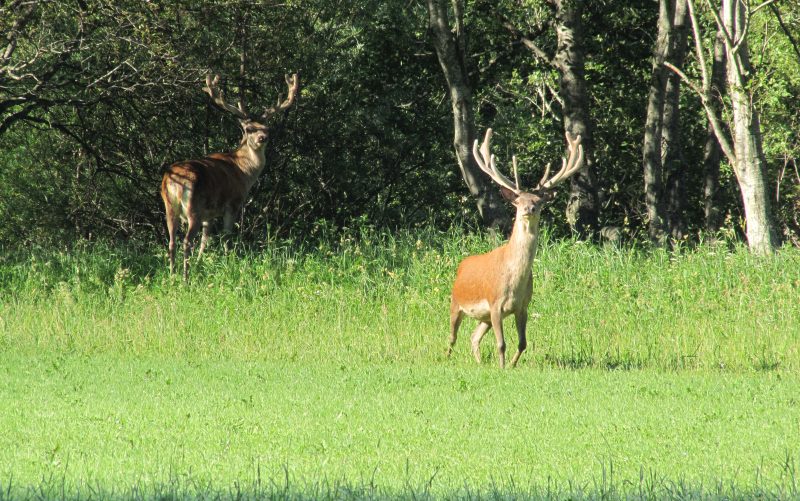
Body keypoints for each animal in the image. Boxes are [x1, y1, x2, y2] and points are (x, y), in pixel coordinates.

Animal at [160, 72, 299, 280]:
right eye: (249, 129)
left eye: (267, 129)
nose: (262, 138)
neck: (243, 171)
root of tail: (175, 182)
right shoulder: (232, 204)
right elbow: (226, 236)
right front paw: (228, 262)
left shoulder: (209, 213)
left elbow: (205, 239)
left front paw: (200, 263)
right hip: (194, 207)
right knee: (186, 241)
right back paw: (185, 278)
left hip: (169, 207)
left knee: (171, 241)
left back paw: (172, 275)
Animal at [447, 128, 584, 368]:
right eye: (518, 202)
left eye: (538, 202)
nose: (529, 209)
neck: (513, 279)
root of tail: (462, 265)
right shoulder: (494, 303)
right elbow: (501, 344)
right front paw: (502, 368)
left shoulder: (523, 306)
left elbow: (522, 343)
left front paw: (511, 365)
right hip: (456, 303)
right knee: (452, 337)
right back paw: (445, 358)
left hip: (483, 318)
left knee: (474, 337)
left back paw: (479, 363)